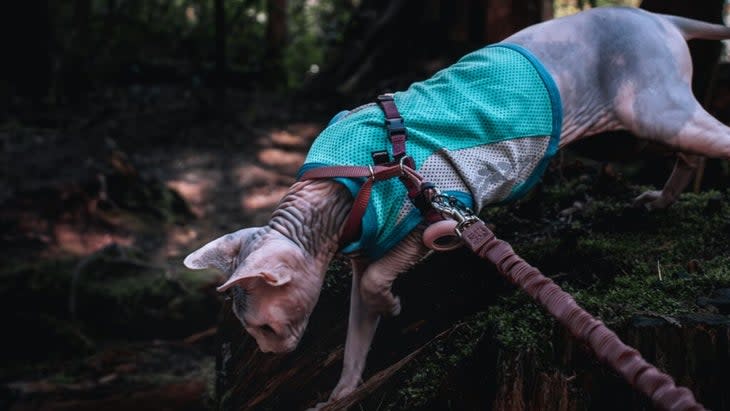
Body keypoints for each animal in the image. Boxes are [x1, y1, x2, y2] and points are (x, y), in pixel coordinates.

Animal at [185, 8, 728, 410]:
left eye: (264, 328)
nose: (270, 352)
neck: (342, 190)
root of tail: (658, 18)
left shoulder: (439, 213)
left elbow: (383, 276)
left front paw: (392, 304)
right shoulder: (367, 250)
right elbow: (357, 338)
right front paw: (341, 394)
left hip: (652, 107)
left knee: (715, 137)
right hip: (658, 115)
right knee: (692, 154)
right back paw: (661, 200)